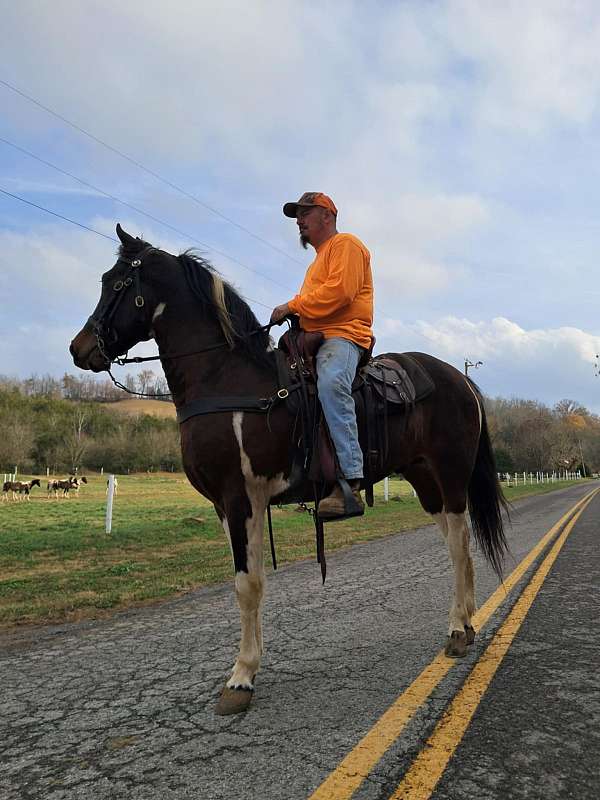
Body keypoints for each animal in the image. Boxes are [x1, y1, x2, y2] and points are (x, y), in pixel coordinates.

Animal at [70, 222, 508, 716]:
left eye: (117, 284)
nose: (79, 348)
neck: (226, 380)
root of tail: (461, 379)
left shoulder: (241, 497)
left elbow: (249, 585)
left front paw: (241, 677)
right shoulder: (227, 507)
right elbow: (245, 582)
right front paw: (247, 668)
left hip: (451, 475)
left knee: (460, 544)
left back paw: (459, 630)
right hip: (424, 480)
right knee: (454, 543)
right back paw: (464, 624)